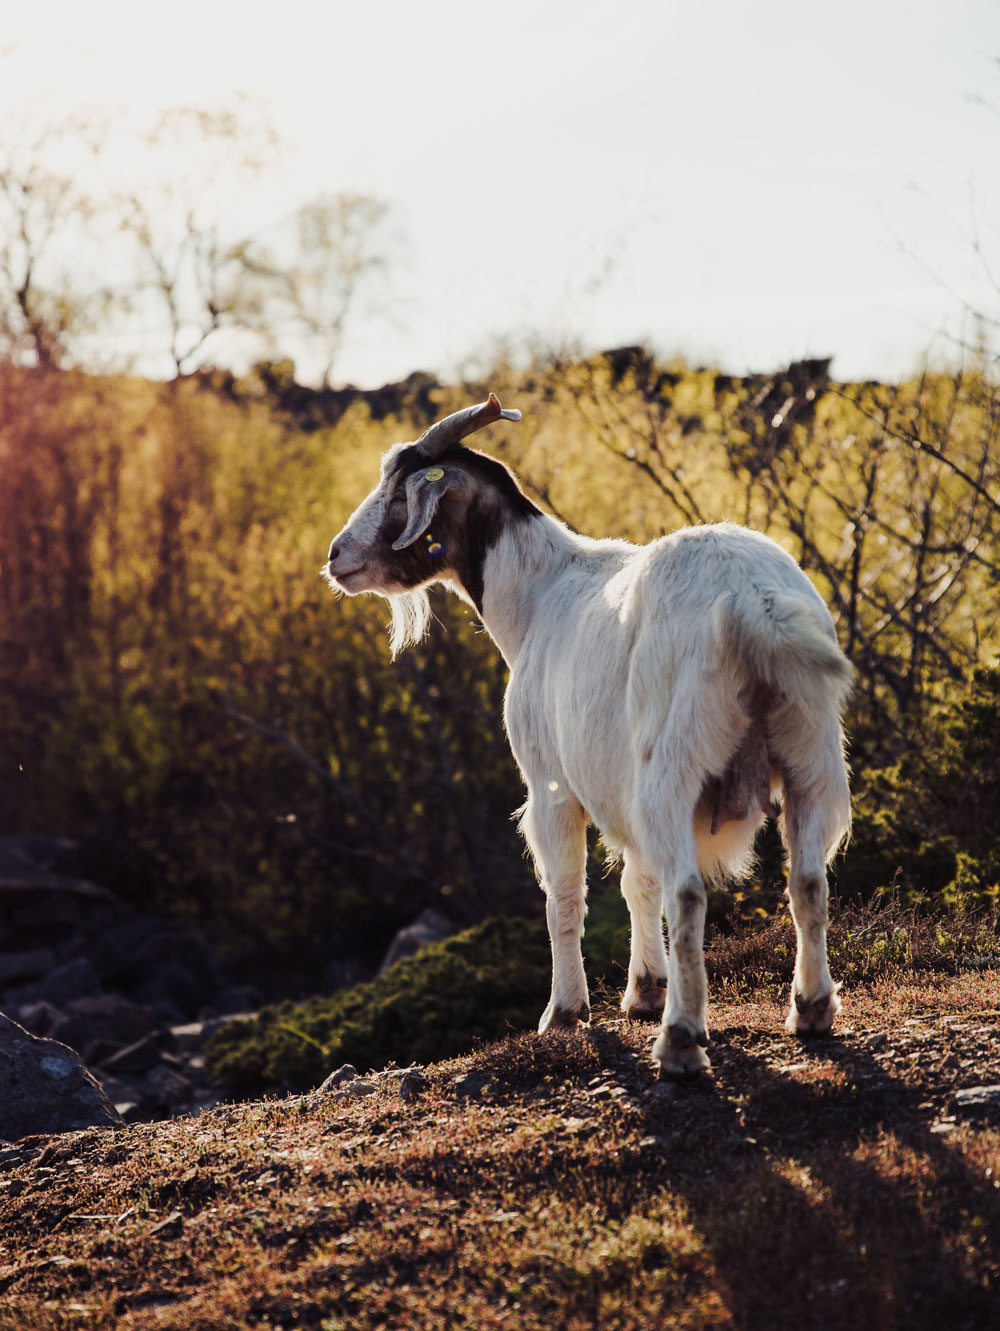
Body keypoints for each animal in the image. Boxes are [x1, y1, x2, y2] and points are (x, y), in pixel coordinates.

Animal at [326, 391, 852, 1070]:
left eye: (397, 492)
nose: (336, 557)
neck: (536, 597)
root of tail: (751, 607)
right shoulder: (616, 781)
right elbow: (636, 882)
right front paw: (644, 990)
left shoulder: (551, 783)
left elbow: (565, 898)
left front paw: (566, 1012)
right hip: (810, 752)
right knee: (807, 881)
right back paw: (810, 1010)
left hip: (673, 764)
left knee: (688, 893)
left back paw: (682, 1040)